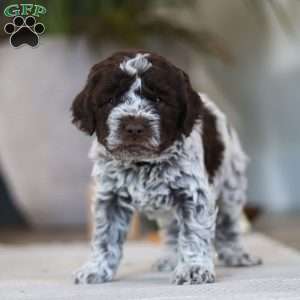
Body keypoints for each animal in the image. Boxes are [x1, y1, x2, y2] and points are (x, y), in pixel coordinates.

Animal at [70, 49, 260, 286]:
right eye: (110, 99)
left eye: (159, 100)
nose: (134, 127)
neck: (143, 164)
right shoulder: (110, 197)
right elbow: (105, 236)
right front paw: (96, 268)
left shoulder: (192, 194)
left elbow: (193, 233)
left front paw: (193, 268)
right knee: (172, 230)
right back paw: (170, 258)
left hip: (231, 185)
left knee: (229, 224)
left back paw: (236, 254)